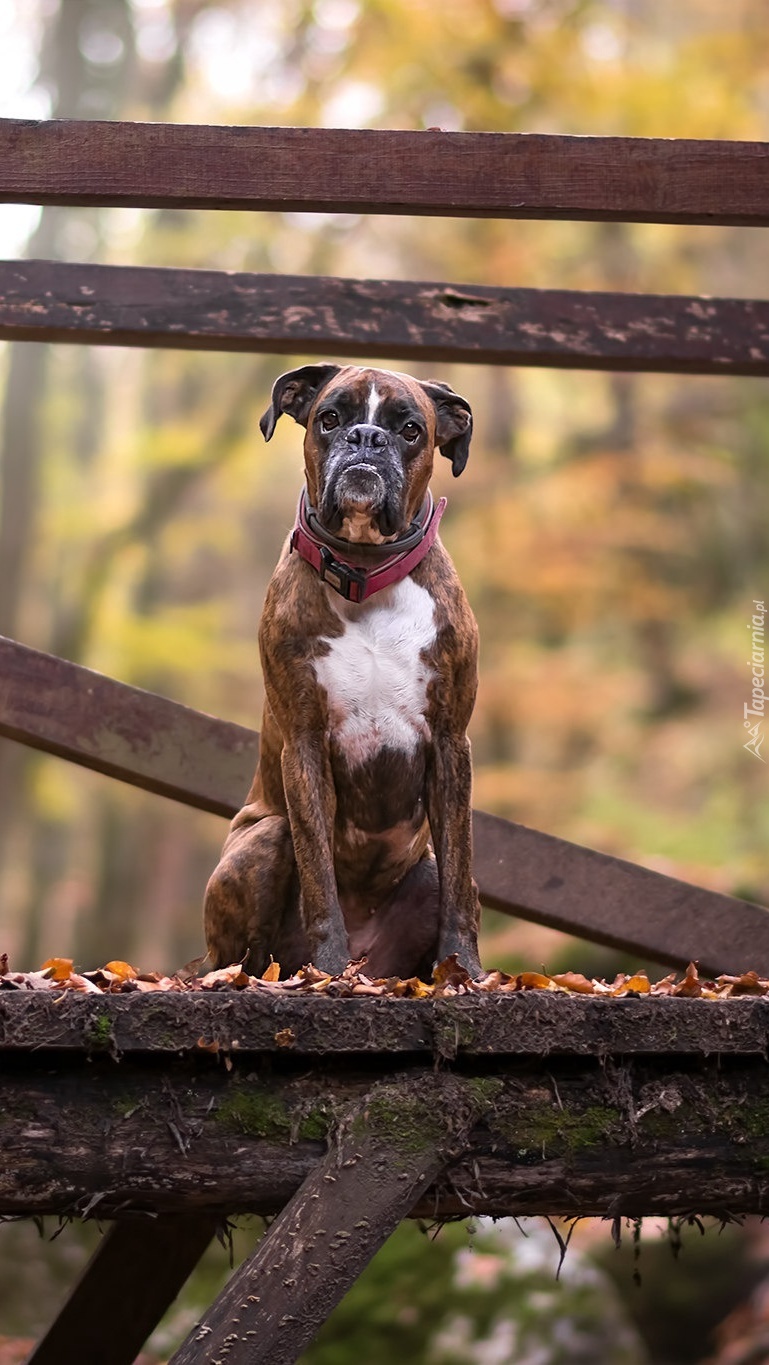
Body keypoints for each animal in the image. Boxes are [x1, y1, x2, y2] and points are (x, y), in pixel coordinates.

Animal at [204, 363, 480, 982]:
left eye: (410, 429)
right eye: (329, 418)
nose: (366, 439)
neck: (366, 572)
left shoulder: (451, 744)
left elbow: (463, 880)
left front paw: (469, 973)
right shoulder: (305, 744)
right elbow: (319, 877)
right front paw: (325, 969)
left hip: (421, 872)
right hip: (265, 839)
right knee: (241, 955)